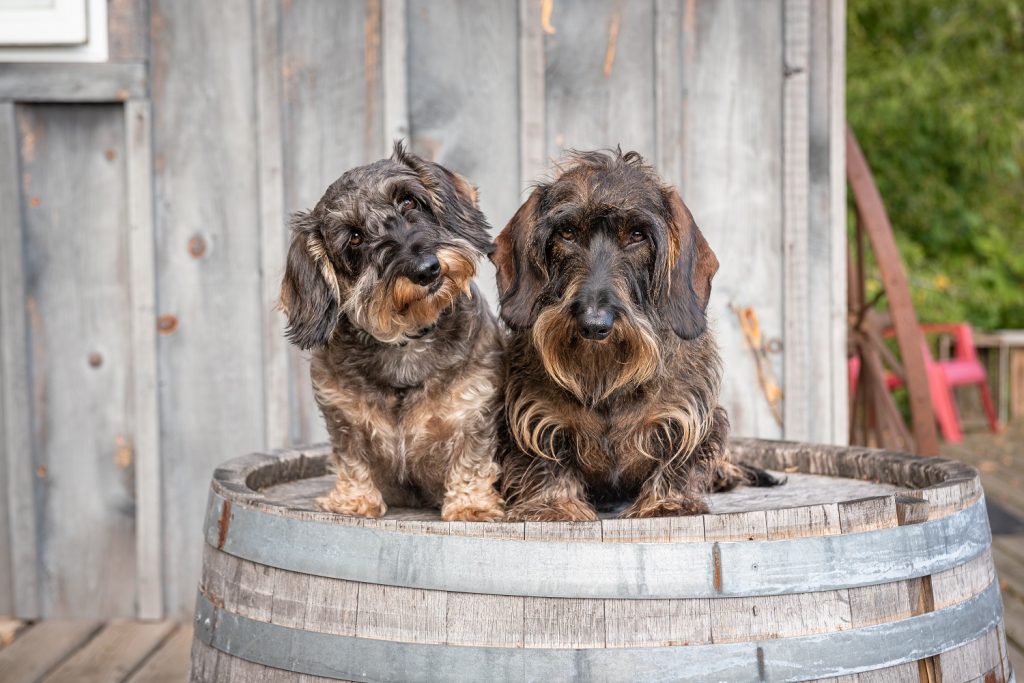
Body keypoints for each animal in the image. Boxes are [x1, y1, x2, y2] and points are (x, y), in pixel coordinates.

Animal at [280, 141, 503, 520]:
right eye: (355, 238)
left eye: (409, 202)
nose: (426, 269)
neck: (406, 341)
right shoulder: (342, 416)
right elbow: (351, 458)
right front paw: (353, 501)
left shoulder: (474, 408)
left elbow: (471, 458)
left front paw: (471, 505)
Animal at [489, 150, 770, 524]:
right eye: (567, 232)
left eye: (637, 235)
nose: (594, 323)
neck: (606, 381)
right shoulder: (534, 418)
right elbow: (543, 460)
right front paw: (553, 504)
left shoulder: (687, 417)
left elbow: (679, 459)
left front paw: (667, 502)